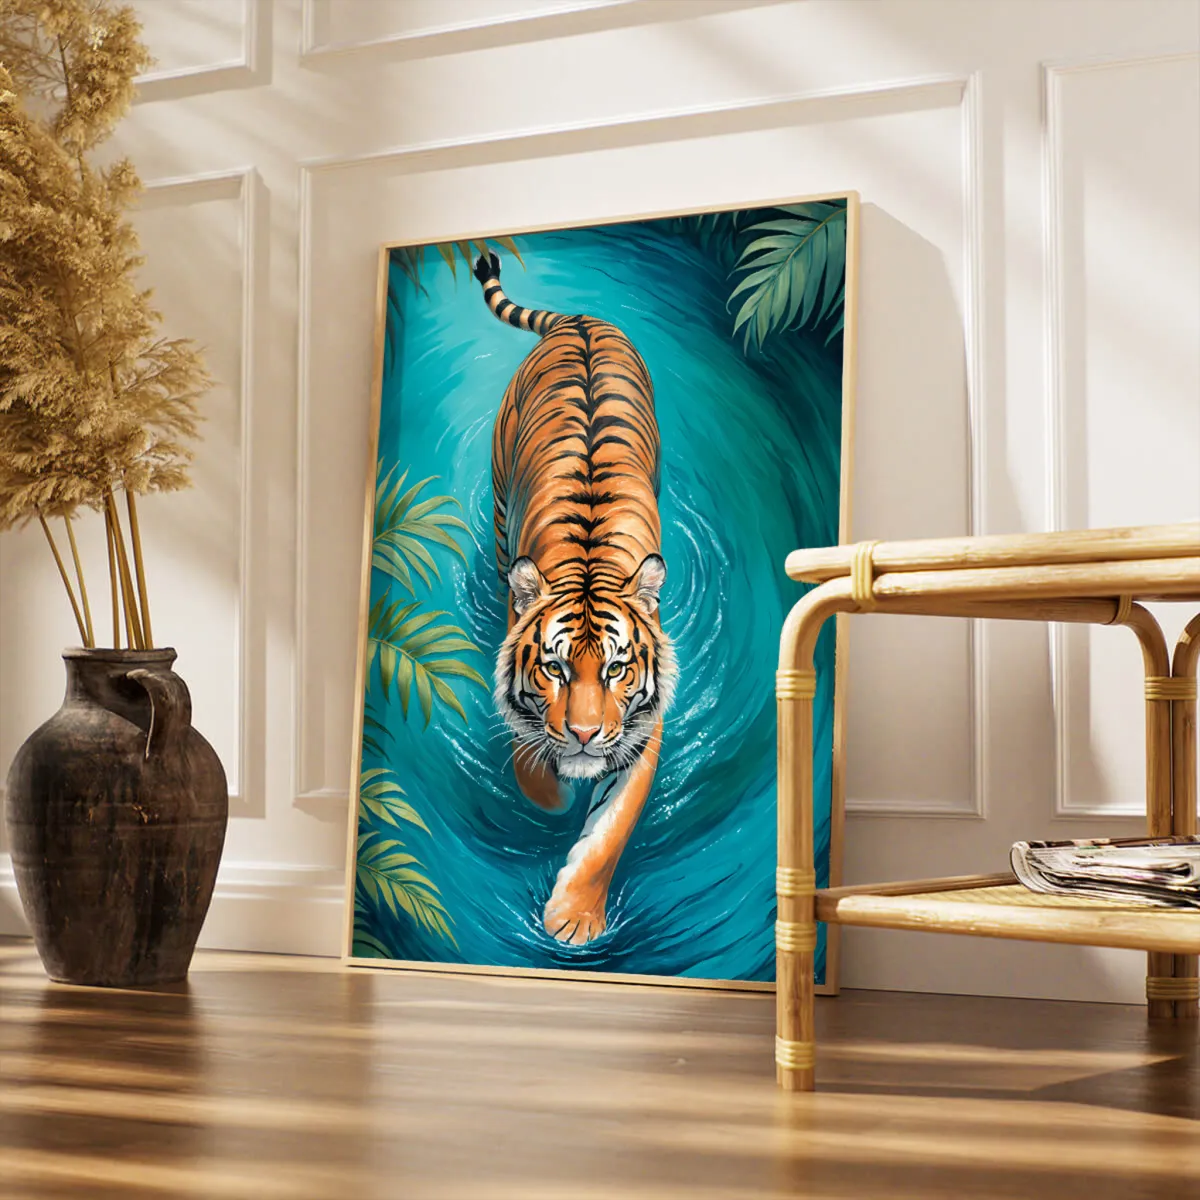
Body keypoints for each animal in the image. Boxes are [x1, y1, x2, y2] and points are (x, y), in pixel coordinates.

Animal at [474, 251, 676, 947]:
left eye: (616, 669)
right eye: (555, 668)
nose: (585, 735)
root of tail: (579, 318)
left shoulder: (641, 729)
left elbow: (610, 833)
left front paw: (575, 922)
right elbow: (529, 763)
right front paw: (556, 792)